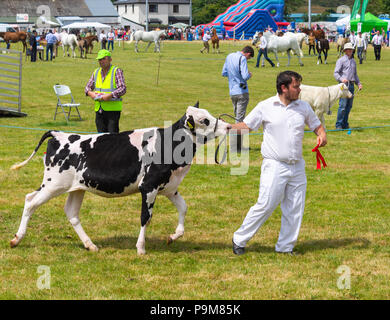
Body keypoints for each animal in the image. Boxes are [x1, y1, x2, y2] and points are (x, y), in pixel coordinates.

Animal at [10, 104, 230, 255]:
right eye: (204, 120)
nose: (228, 126)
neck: (169, 145)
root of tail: (58, 134)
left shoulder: (169, 187)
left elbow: (183, 208)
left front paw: (173, 237)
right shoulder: (148, 186)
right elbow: (146, 217)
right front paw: (141, 248)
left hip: (76, 188)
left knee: (71, 213)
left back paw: (90, 245)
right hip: (53, 184)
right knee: (30, 201)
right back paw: (17, 239)